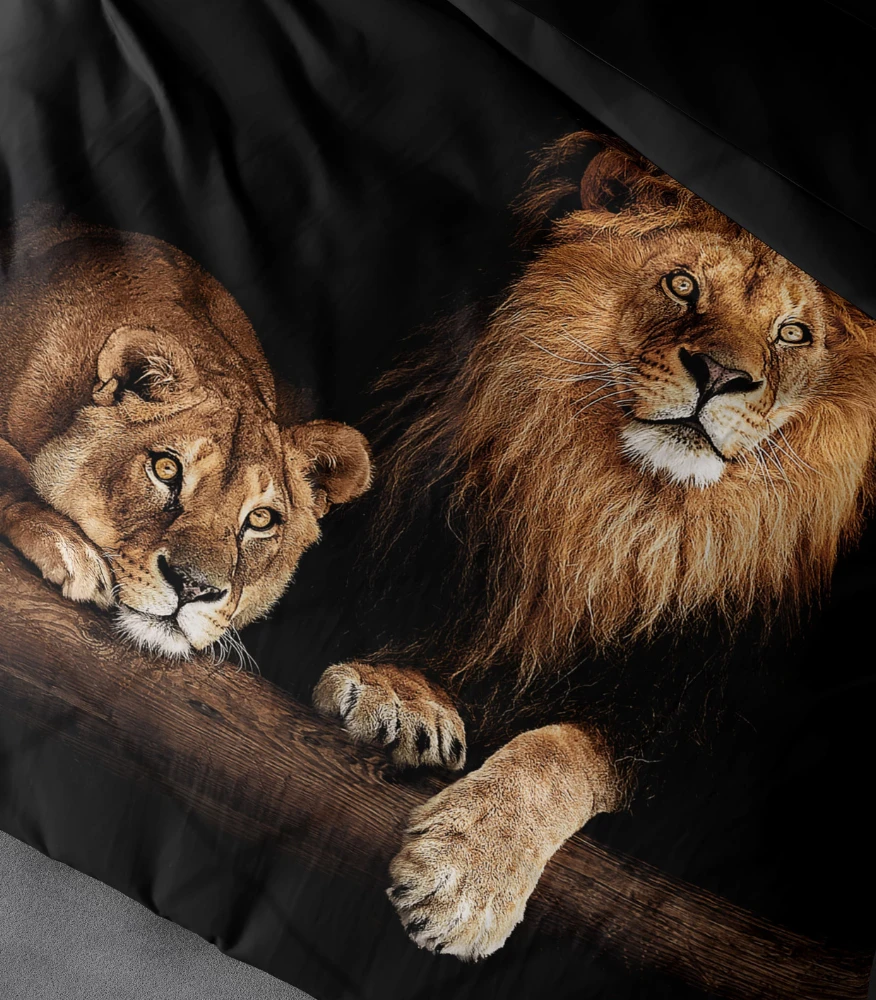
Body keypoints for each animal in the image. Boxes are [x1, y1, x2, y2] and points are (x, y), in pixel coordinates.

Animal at [313, 131, 876, 960]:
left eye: (793, 334)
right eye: (682, 285)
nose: (721, 375)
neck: (616, 519)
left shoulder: (695, 748)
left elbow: (567, 751)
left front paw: (469, 874)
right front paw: (401, 694)